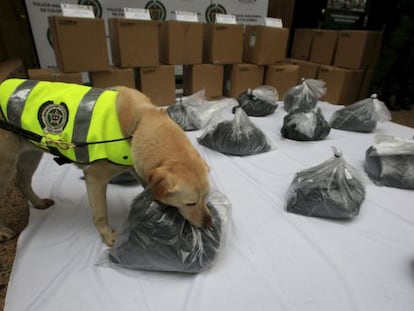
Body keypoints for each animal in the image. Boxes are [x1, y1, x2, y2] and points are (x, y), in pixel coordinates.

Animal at [0, 80, 212, 246]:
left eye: (206, 198)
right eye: (191, 203)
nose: (209, 223)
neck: (139, 124)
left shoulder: (139, 171)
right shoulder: (95, 179)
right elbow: (101, 213)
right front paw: (108, 236)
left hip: (31, 155)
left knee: (22, 181)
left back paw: (38, 203)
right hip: (6, 165)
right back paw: (3, 231)